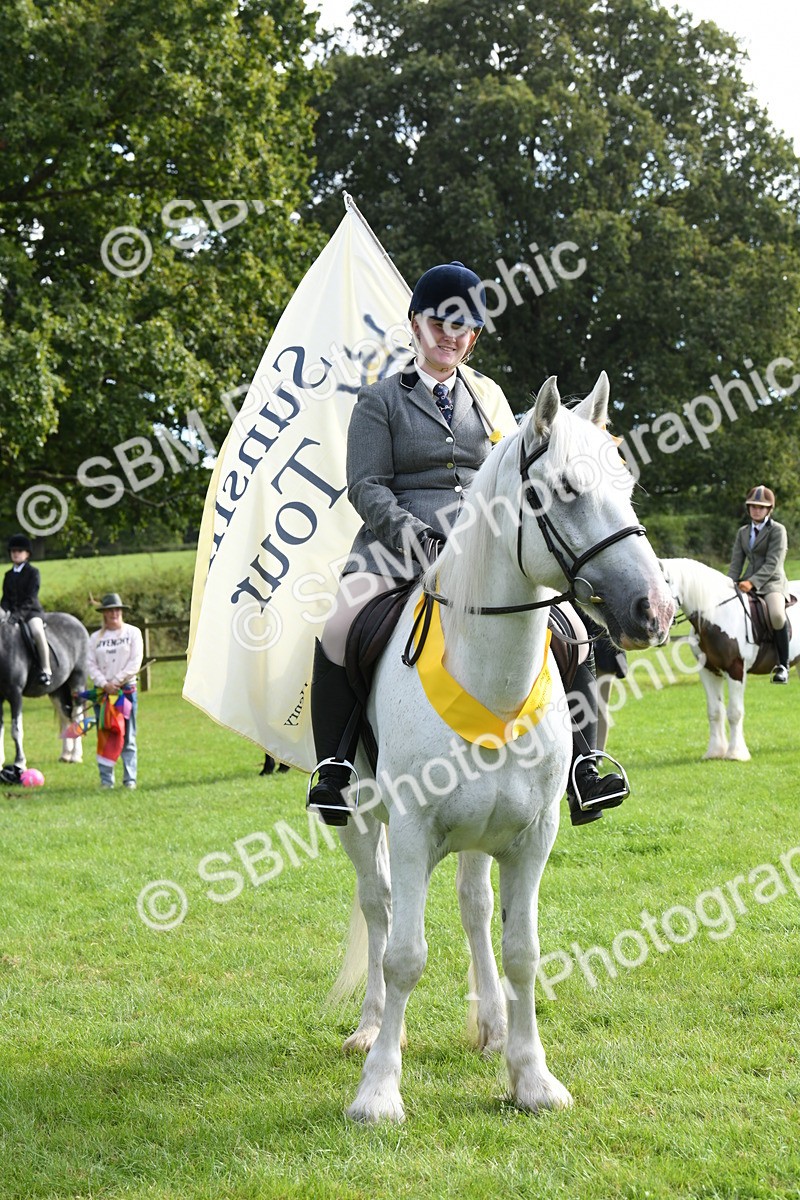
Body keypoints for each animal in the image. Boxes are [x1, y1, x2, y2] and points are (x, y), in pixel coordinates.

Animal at [0, 612, 90, 768]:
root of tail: (76, 622)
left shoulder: (15, 694)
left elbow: (16, 730)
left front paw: (19, 762)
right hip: (57, 691)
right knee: (65, 717)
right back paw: (65, 755)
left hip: (77, 683)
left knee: (76, 716)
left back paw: (75, 756)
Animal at [328, 373, 675, 1122]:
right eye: (564, 489)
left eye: (627, 482)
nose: (654, 610)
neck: (488, 672)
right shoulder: (410, 831)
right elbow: (404, 954)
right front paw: (378, 1091)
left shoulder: (532, 834)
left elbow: (522, 952)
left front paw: (532, 1078)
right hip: (358, 818)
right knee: (377, 907)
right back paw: (369, 1027)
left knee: (473, 907)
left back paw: (488, 1025)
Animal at [659, 557, 799, 761]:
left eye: (664, 581)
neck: (715, 614)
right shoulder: (708, 671)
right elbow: (715, 711)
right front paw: (714, 752)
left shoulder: (736, 670)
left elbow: (734, 712)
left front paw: (735, 753)